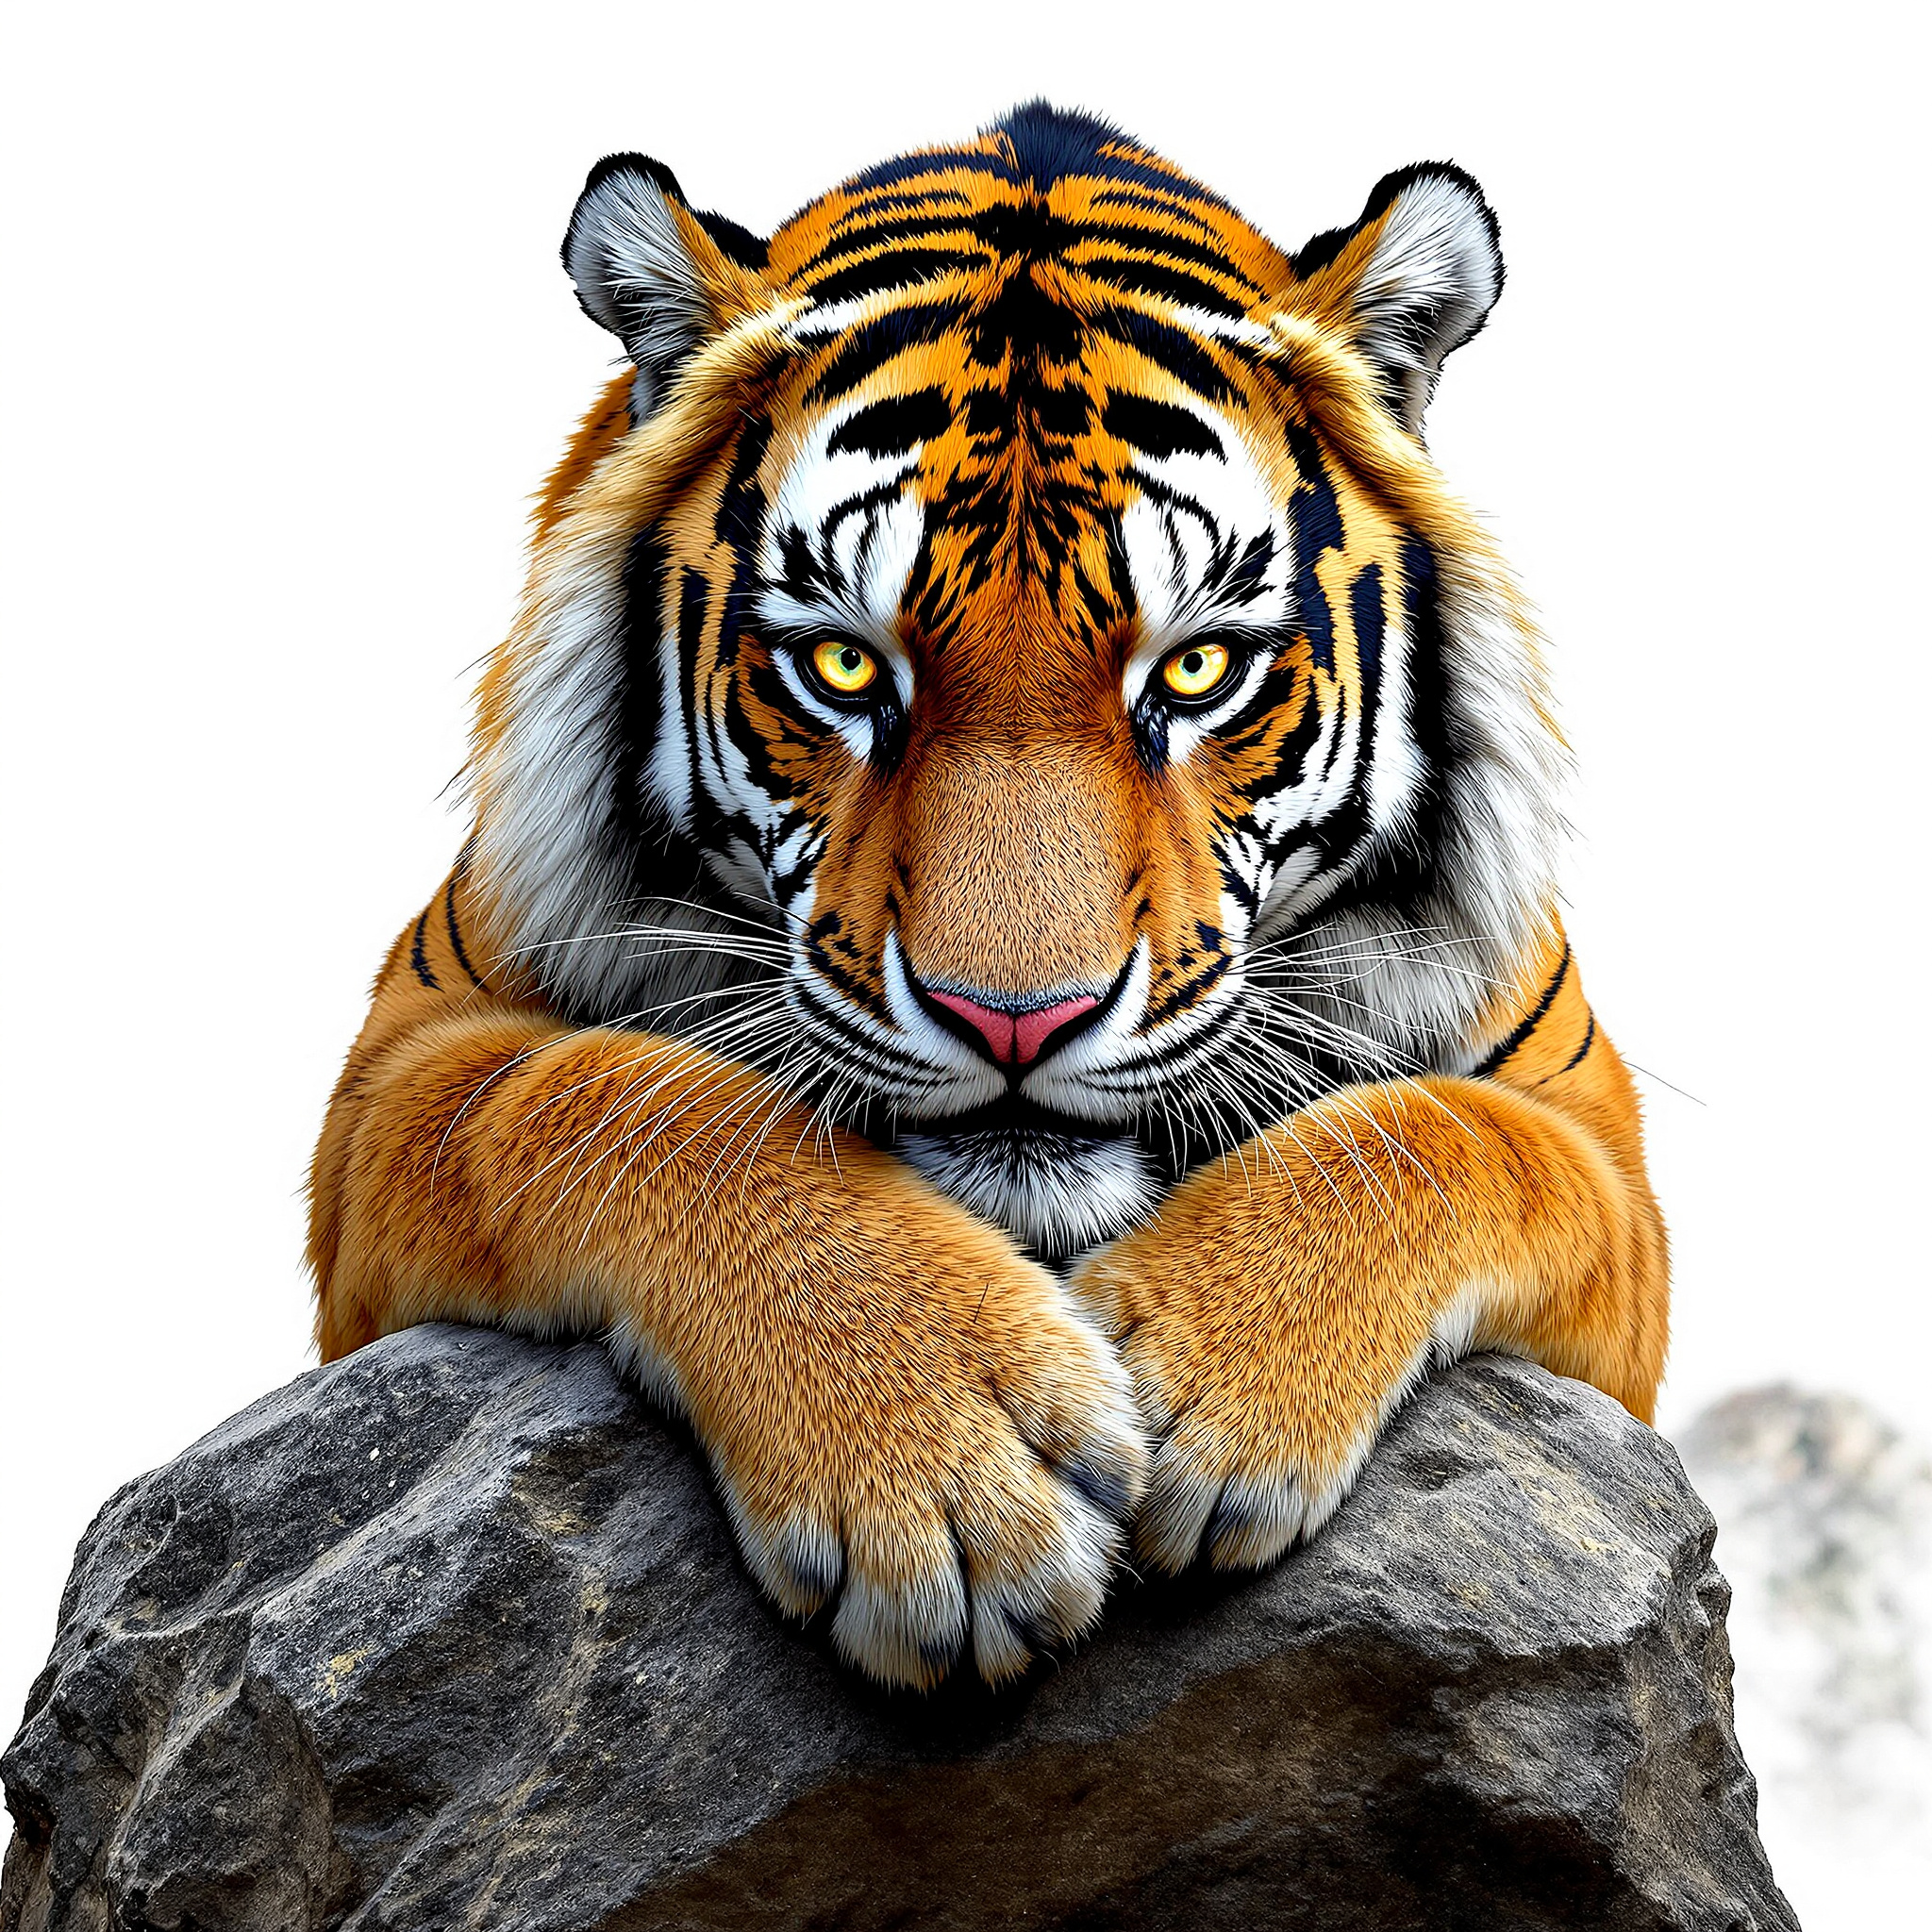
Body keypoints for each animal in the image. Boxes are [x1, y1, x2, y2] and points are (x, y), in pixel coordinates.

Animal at [309, 102, 1668, 1691]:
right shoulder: (400, 1078)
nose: (1014, 1022)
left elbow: (1442, 1139)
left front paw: (1194, 1384)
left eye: (1197, 668)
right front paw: (950, 1481)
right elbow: (626, 1101)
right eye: (843, 666)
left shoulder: (1601, 1159)